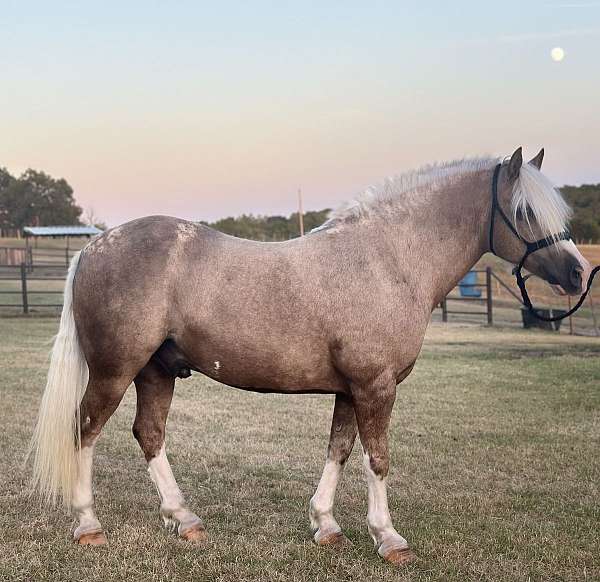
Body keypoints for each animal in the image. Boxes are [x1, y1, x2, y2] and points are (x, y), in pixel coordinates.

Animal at [29, 146, 592, 564]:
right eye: (524, 212)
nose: (578, 274)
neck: (387, 261)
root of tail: (92, 248)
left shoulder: (351, 389)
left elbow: (338, 451)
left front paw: (326, 525)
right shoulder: (375, 386)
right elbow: (377, 459)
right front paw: (389, 539)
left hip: (156, 371)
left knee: (148, 434)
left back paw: (184, 520)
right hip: (114, 371)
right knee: (85, 429)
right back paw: (88, 525)